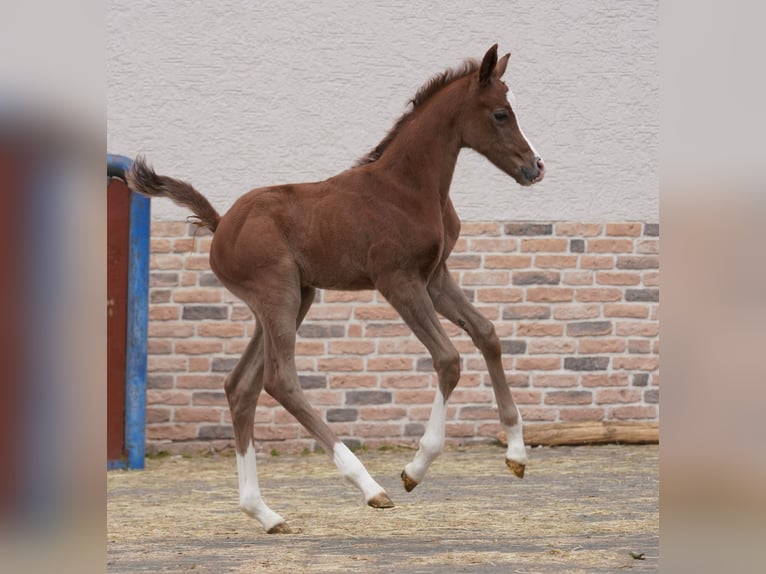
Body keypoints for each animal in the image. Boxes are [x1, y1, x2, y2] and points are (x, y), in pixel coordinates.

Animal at [127, 44, 545, 534]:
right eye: (500, 113)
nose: (535, 167)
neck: (408, 188)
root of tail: (221, 224)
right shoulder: (398, 281)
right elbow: (448, 359)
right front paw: (414, 469)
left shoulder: (436, 277)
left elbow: (487, 335)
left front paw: (516, 454)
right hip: (279, 295)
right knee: (279, 380)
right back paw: (368, 485)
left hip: (293, 299)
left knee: (241, 386)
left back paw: (264, 513)